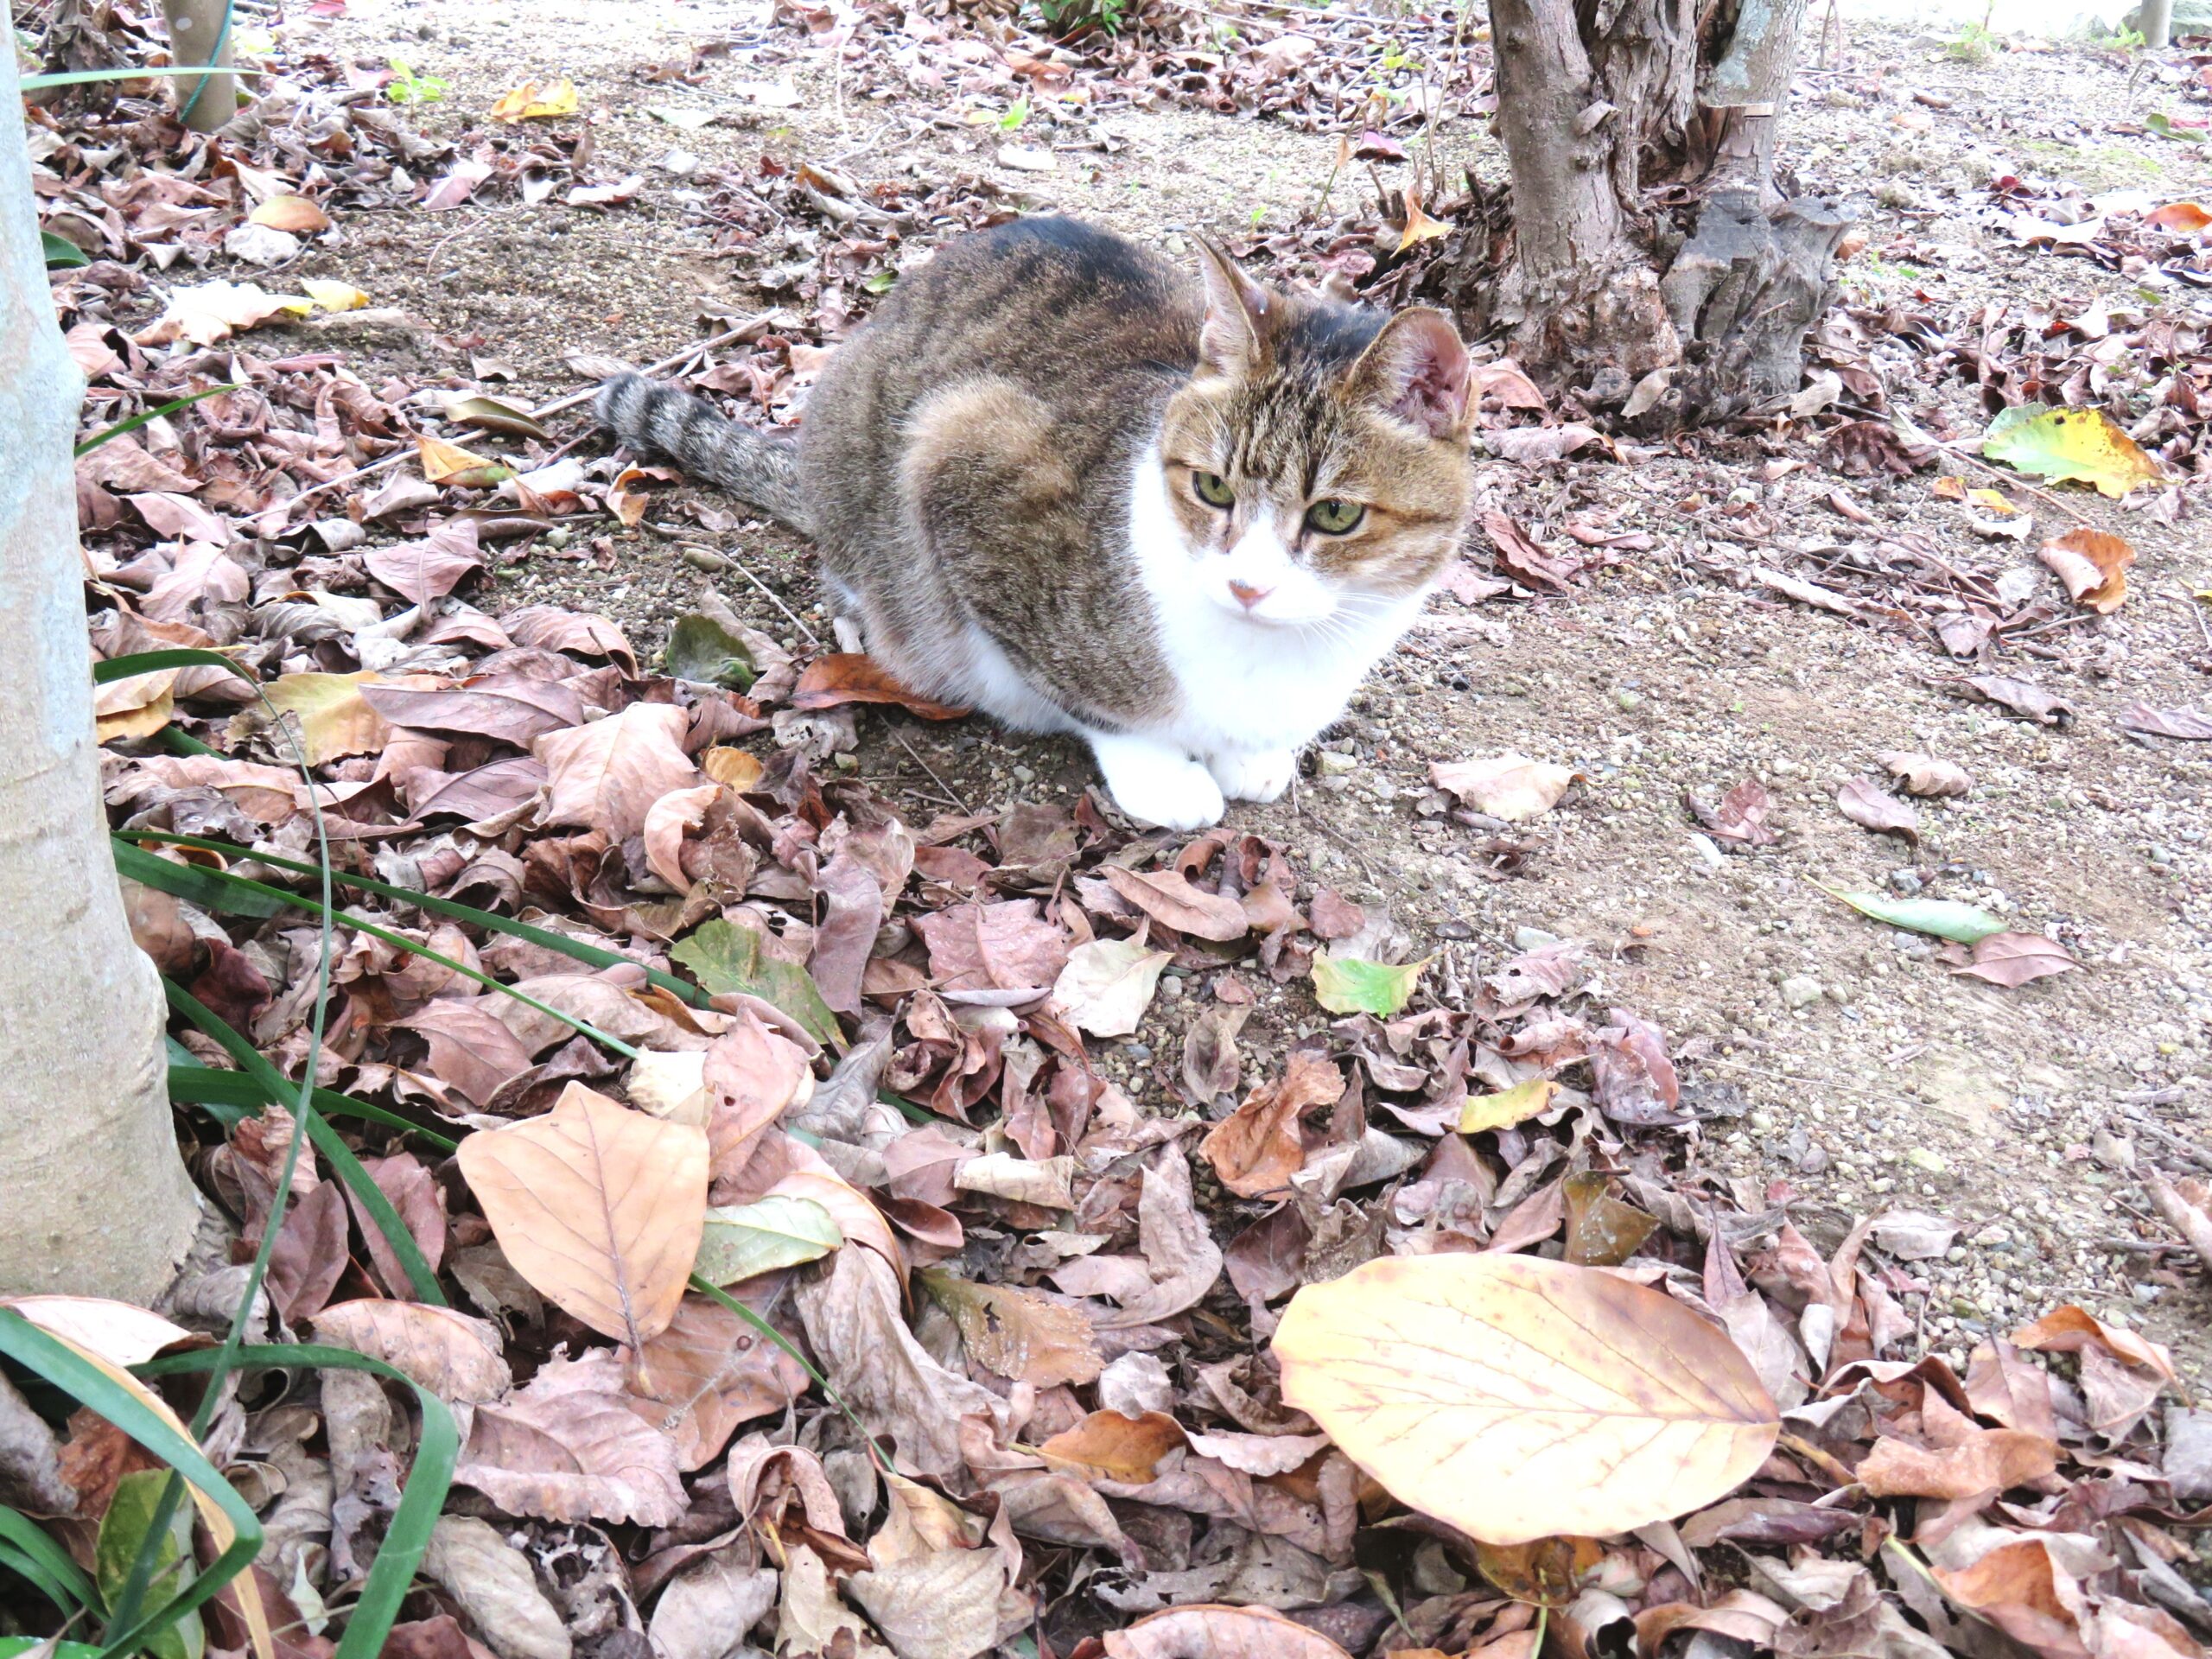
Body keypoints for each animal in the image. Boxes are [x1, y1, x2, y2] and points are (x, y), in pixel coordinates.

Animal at [597, 218, 1478, 827]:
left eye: (1335, 513)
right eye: (1213, 489)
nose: (1248, 587)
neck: (1274, 657)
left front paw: (1255, 755)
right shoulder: (962, 459)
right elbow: (1089, 698)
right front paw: (1163, 773)